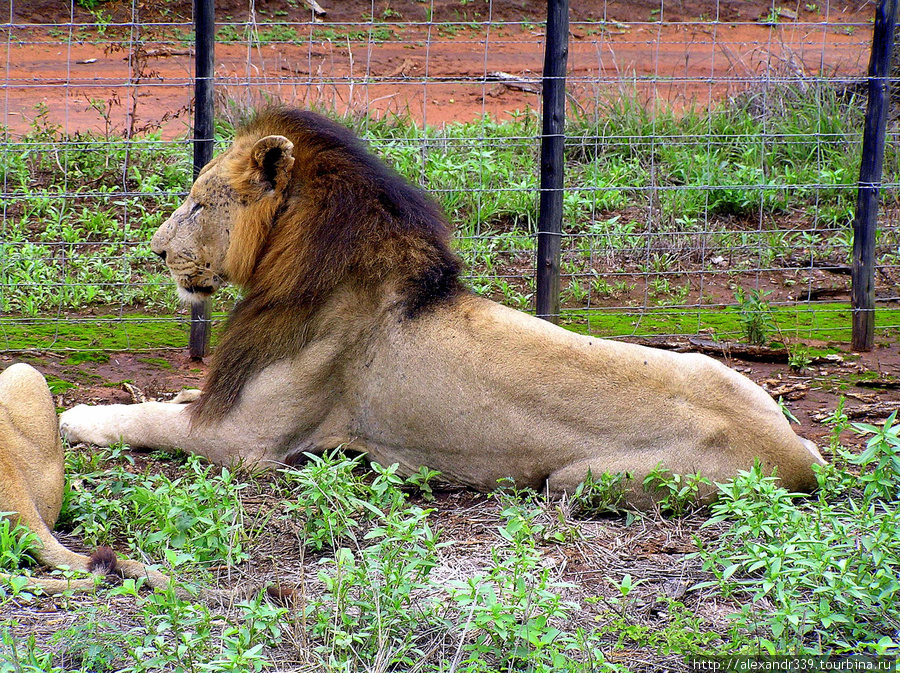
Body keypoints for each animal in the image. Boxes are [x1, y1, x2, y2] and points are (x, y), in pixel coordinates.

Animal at [59, 105, 828, 506]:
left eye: (196, 204)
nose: (157, 251)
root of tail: (797, 455)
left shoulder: (247, 442)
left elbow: (147, 419)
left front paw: (77, 416)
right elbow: (180, 399)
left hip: (577, 479)